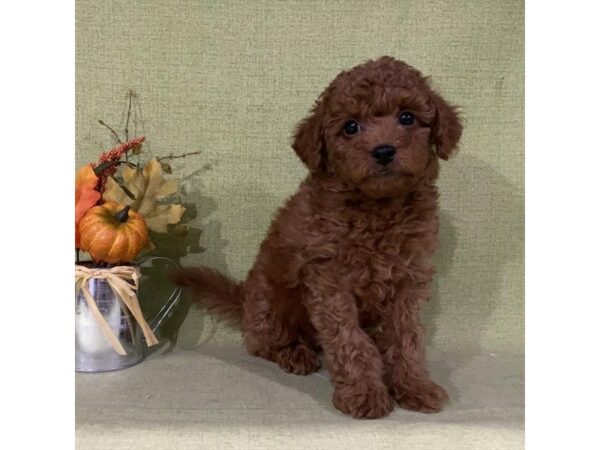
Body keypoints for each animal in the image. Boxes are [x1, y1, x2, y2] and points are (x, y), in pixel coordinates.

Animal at [170, 56, 464, 418]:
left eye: (407, 117)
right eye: (350, 127)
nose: (383, 151)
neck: (377, 209)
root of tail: (244, 301)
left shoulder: (408, 279)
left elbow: (407, 338)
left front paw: (414, 385)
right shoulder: (330, 281)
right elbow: (350, 341)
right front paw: (364, 393)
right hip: (270, 305)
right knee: (263, 343)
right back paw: (296, 354)